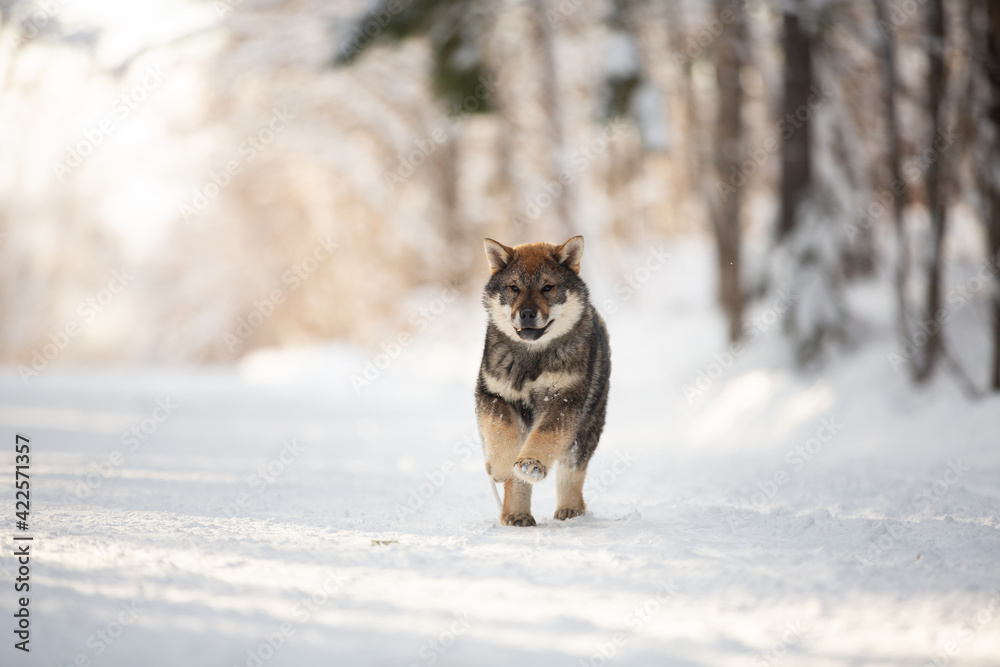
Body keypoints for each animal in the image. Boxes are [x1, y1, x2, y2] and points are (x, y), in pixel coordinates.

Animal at [474, 236, 608, 528]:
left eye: (548, 287)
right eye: (514, 287)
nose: (526, 313)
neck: (532, 358)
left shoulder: (565, 400)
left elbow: (546, 436)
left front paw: (532, 463)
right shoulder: (493, 394)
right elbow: (501, 430)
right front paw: (499, 466)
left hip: (587, 427)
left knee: (572, 470)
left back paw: (570, 509)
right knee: (518, 477)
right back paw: (516, 513)